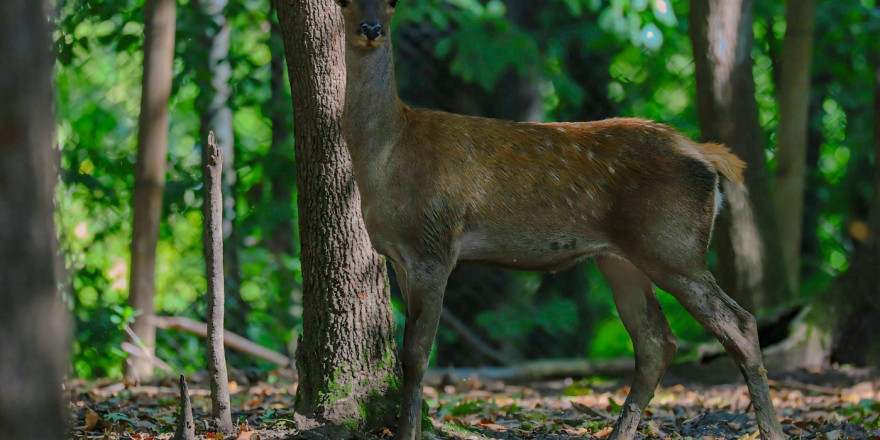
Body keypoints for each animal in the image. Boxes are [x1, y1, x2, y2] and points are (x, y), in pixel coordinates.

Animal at [334, 0, 788, 440]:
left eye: (393, 2)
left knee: (739, 324)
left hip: (673, 244)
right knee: (657, 341)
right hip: (620, 259)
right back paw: (619, 433)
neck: (389, 156)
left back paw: (770, 430)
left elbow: (415, 355)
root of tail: (707, 156)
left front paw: (407, 432)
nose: (371, 29)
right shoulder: (400, 255)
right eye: (345, 1)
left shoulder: (434, 244)